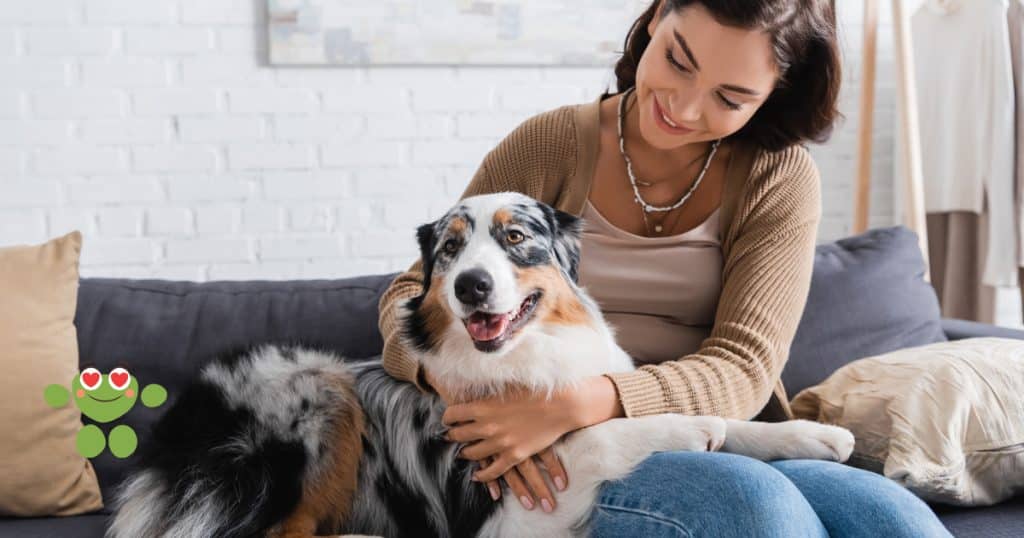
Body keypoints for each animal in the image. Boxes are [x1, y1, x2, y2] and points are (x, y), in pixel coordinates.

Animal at [105, 190, 856, 532]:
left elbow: (722, 419)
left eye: (516, 237)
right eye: (450, 250)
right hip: (309, 385)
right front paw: (687, 429)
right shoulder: (515, 509)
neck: (529, 358)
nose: (471, 285)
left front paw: (813, 434)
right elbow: (599, 435)